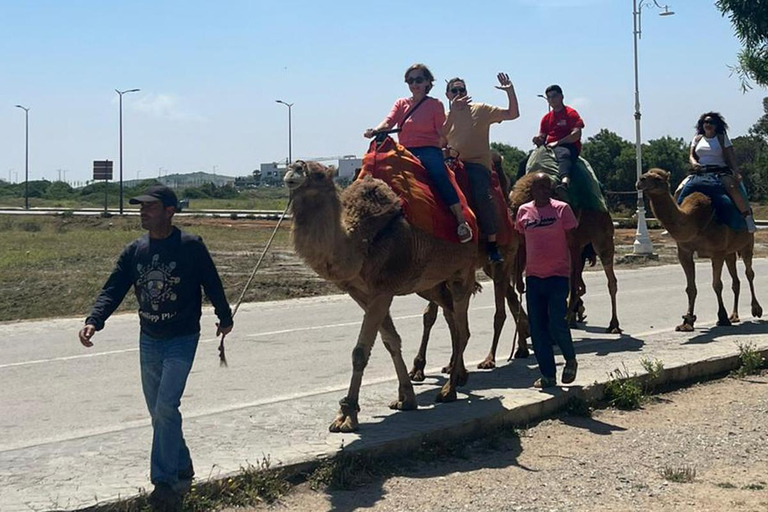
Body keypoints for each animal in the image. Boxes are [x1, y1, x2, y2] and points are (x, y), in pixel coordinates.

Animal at [284, 161, 476, 432]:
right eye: (292, 165)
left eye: (319, 174)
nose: (296, 168)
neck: (359, 242)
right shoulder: (359, 291)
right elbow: (390, 340)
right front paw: (406, 398)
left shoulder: (383, 289)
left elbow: (360, 352)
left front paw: (347, 416)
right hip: (431, 283)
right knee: (452, 319)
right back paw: (459, 377)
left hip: (462, 272)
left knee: (462, 328)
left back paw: (449, 390)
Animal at [636, 167, 760, 328]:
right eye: (645, 173)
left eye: (658, 178)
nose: (640, 180)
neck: (694, 220)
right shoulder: (684, 252)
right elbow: (690, 288)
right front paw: (687, 320)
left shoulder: (717, 252)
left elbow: (717, 284)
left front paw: (722, 317)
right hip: (729, 251)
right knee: (736, 280)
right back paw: (734, 316)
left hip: (747, 243)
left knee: (749, 273)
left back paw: (756, 310)